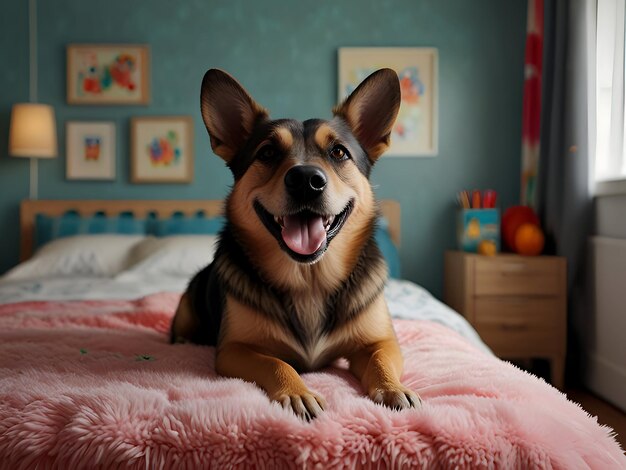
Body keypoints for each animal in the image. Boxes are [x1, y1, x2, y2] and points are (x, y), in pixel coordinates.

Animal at [171, 68, 420, 420]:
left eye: (339, 152)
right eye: (267, 153)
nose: (306, 180)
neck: (310, 281)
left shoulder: (381, 341)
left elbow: (380, 359)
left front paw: (392, 387)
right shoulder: (234, 350)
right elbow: (276, 363)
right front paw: (298, 392)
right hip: (188, 304)